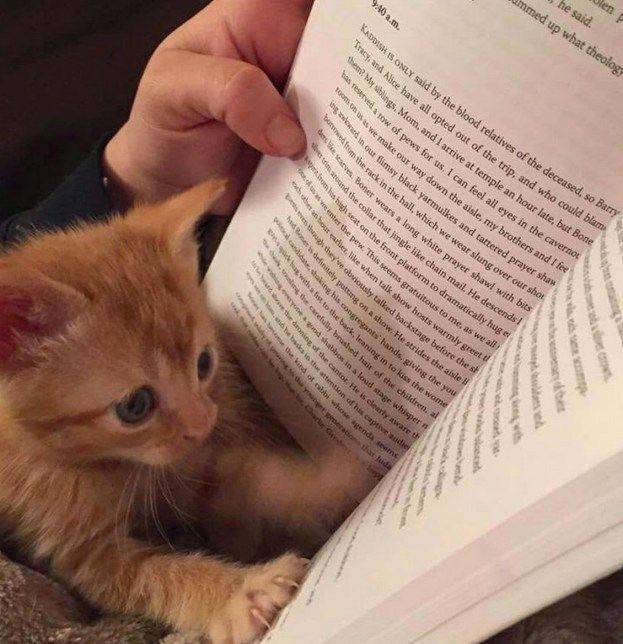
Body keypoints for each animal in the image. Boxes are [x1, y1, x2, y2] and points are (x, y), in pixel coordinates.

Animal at [0, 180, 371, 643]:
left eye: (204, 363)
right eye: (135, 406)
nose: (204, 423)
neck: (103, 465)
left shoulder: (187, 466)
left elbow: (235, 476)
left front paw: (313, 483)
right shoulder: (77, 550)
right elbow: (151, 576)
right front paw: (240, 594)